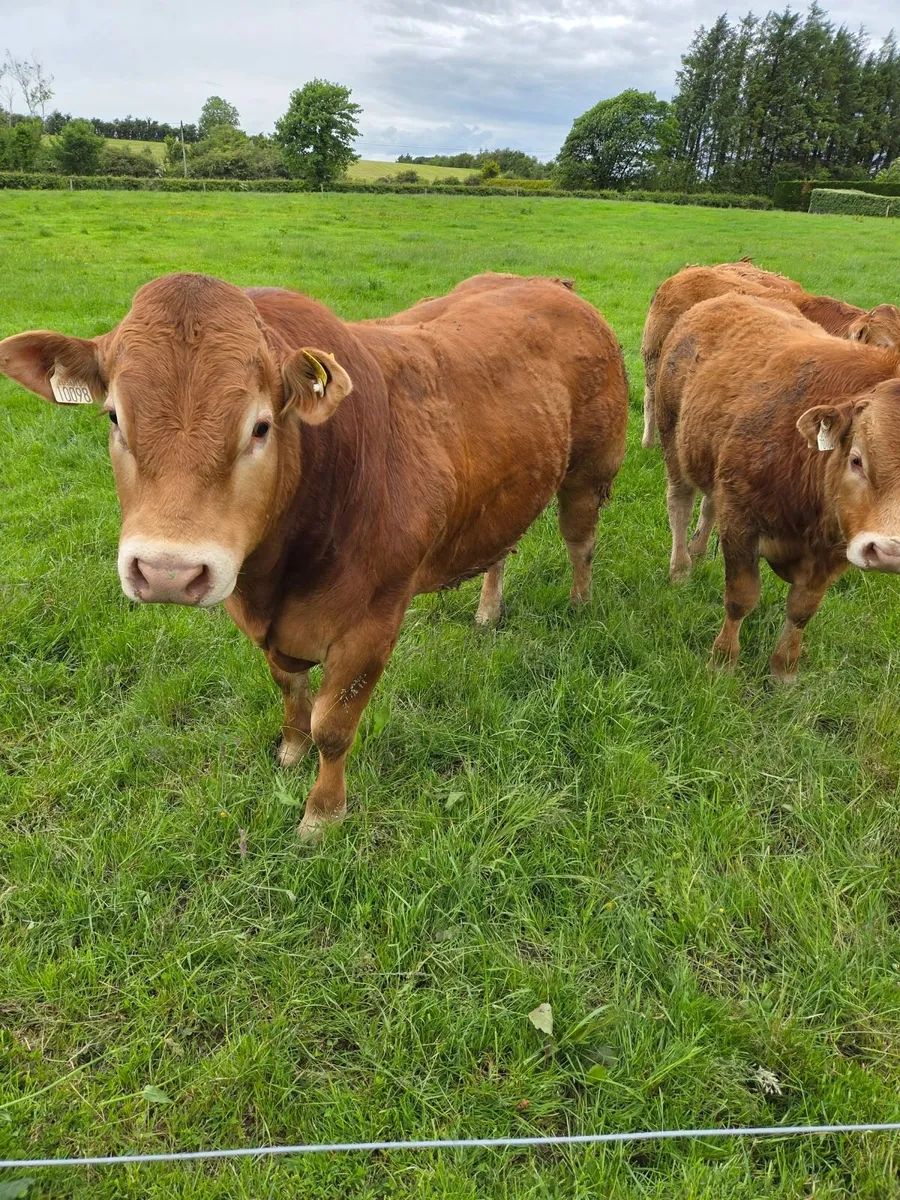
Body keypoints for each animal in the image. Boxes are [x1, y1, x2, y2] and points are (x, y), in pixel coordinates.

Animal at [0, 272, 628, 836]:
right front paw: (289, 750)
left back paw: (579, 605)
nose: (167, 573)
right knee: (500, 549)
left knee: (580, 541)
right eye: (114, 417)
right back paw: (487, 611)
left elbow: (334, 725)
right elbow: (290, 689)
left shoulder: (372, 624)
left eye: (259, 427)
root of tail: (554, 285)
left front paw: (321, 816)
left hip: (591, 470)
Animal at [655, 291, 900, 681]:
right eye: (857, 460)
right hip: (673, 434)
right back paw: (681, 567)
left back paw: (698, 550)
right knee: (680, 503)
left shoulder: (834, 551)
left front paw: (784, 671)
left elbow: (801, 610)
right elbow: (741, 596)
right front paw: (723, 661)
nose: (890, 551)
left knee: (708, 504)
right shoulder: (740, 521)